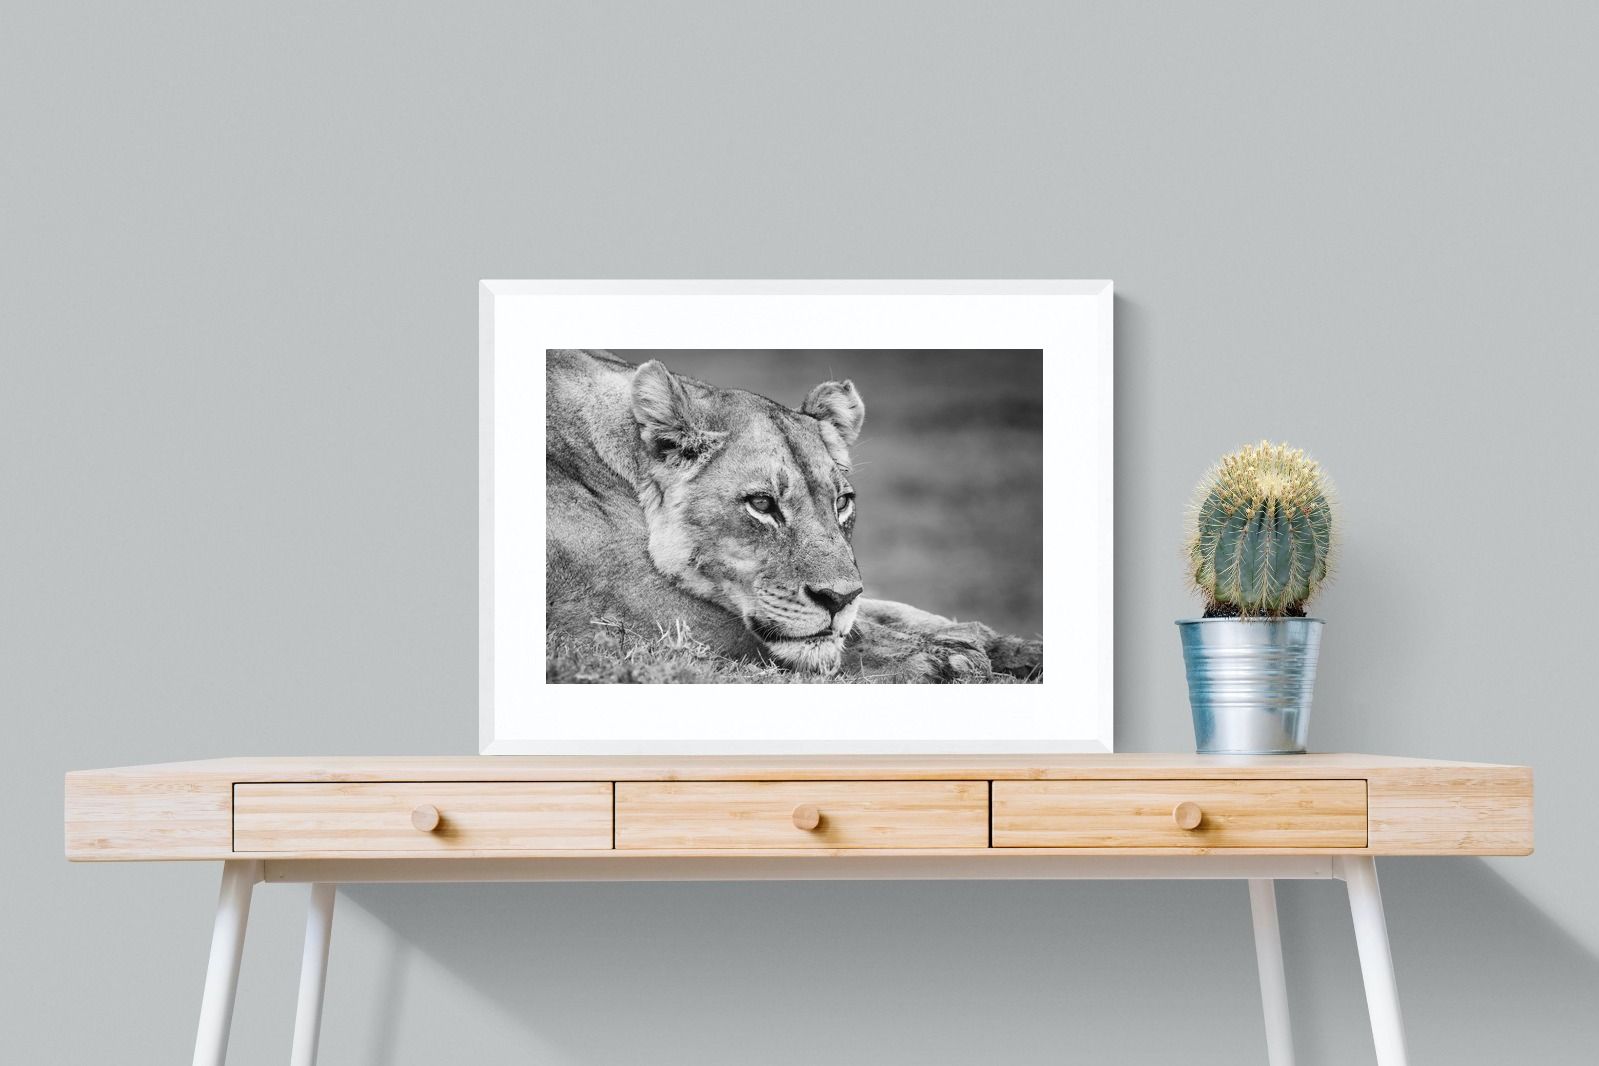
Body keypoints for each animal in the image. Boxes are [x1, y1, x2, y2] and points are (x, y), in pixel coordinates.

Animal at [545, 348, 1043, 682]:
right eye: (762, 504)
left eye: (841, 502)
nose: (837, 599)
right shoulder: (632, 613)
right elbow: (840, 638)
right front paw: (949, 658)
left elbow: (890, 612)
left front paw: (1009, 646)